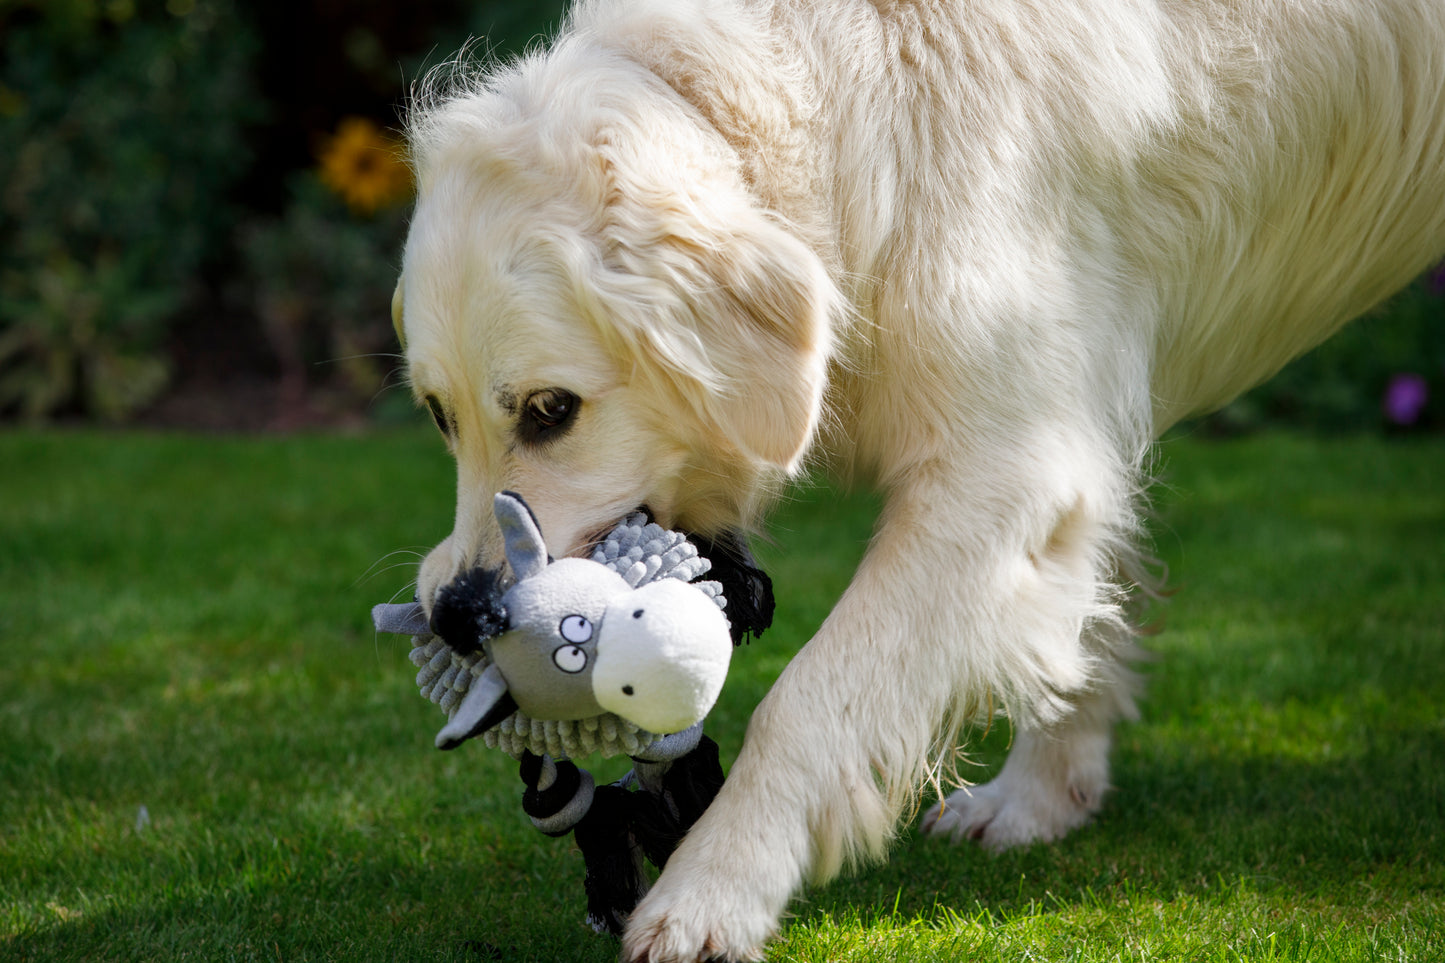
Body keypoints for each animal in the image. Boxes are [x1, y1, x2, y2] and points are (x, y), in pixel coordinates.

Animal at [393, 3, 1445, 954]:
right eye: (438, 414)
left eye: (549, 410)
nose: (458, 613)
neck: (832, 96)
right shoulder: (1079, 420)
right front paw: (1041, 797)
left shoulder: (1006, 466)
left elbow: (809, 698)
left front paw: (709, 892)